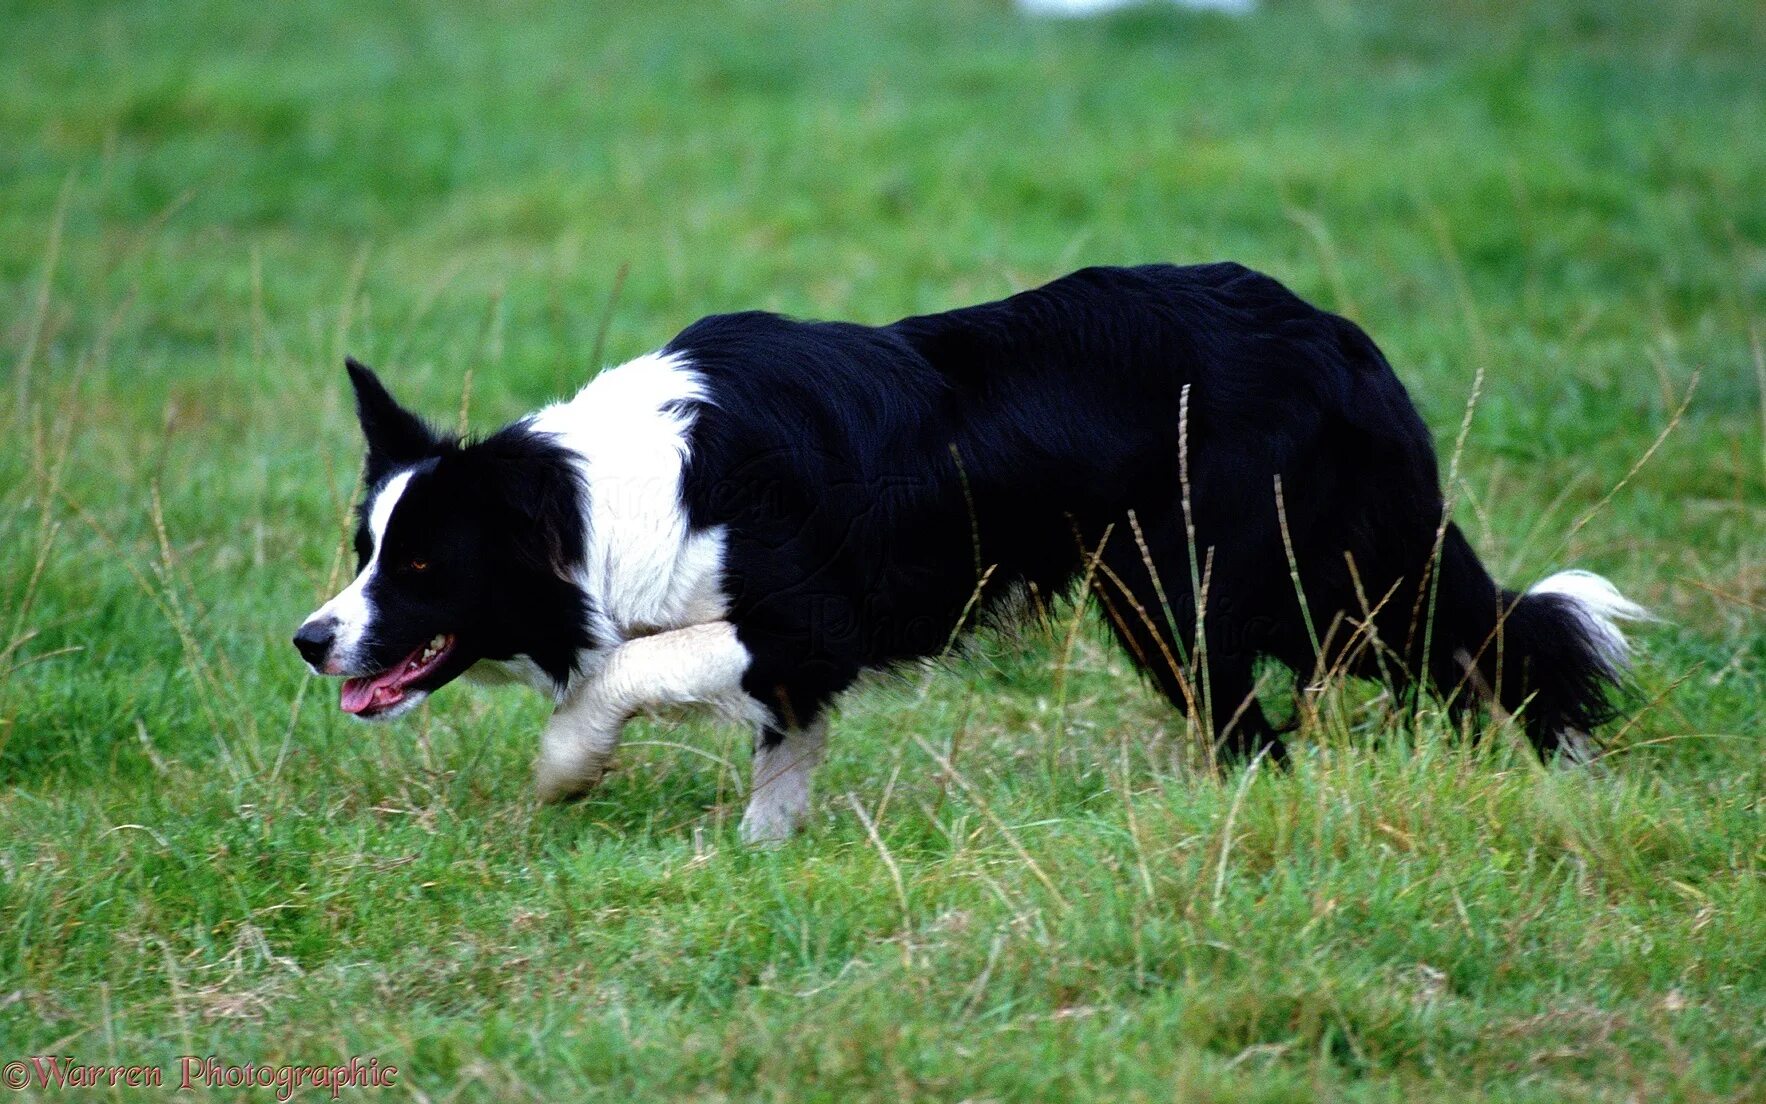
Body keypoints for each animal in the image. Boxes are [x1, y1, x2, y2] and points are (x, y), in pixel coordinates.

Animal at [296, 263, 1645, 840]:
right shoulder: (793, 663)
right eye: (364, 548)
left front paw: (566, 766)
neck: (601, 499)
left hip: (1233, 584)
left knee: (1451, 650)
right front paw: (765, 864)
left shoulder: (811, 616)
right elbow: (781, 762)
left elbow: (625, 669)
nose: (309, 640)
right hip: (1194, 593)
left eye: (419, 569)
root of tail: (1339, 338)